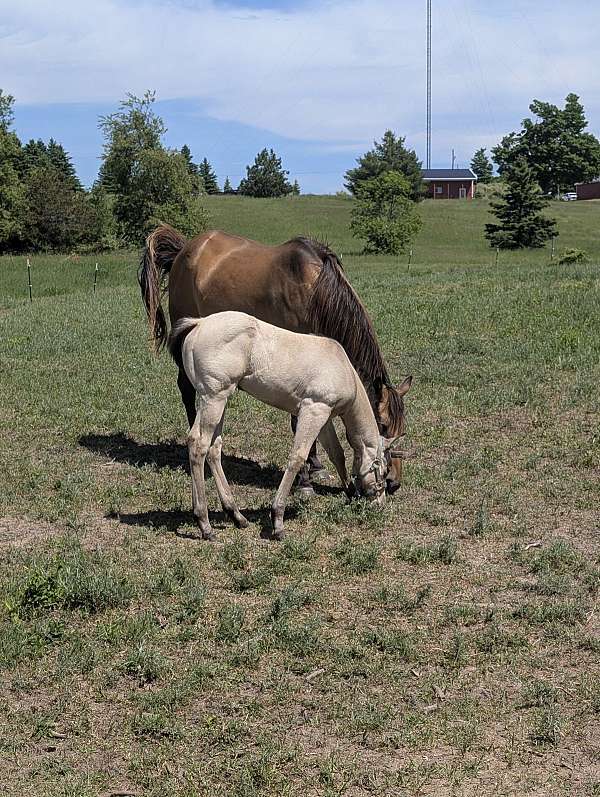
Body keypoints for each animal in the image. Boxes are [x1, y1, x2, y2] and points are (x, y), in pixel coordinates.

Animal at [139, 226, 411, 493]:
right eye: (383, 425)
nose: (393, 481)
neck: (314, 289)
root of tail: (184, 249)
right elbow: (296, 422)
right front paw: (304, 480)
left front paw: (316, 465)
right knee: (187, 392)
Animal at [168, 311, 396, 540]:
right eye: (385, 471)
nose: (380, 504)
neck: (342, 367)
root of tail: (199, 323)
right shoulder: (314, 410)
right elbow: (298, 457)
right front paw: (277, 520)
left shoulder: (325, 418)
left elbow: (337, 454)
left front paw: (350, 492)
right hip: (214, 398)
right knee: (199, 445)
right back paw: (204, 524)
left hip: (219, 400)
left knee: (213, 448)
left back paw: (236, 516)